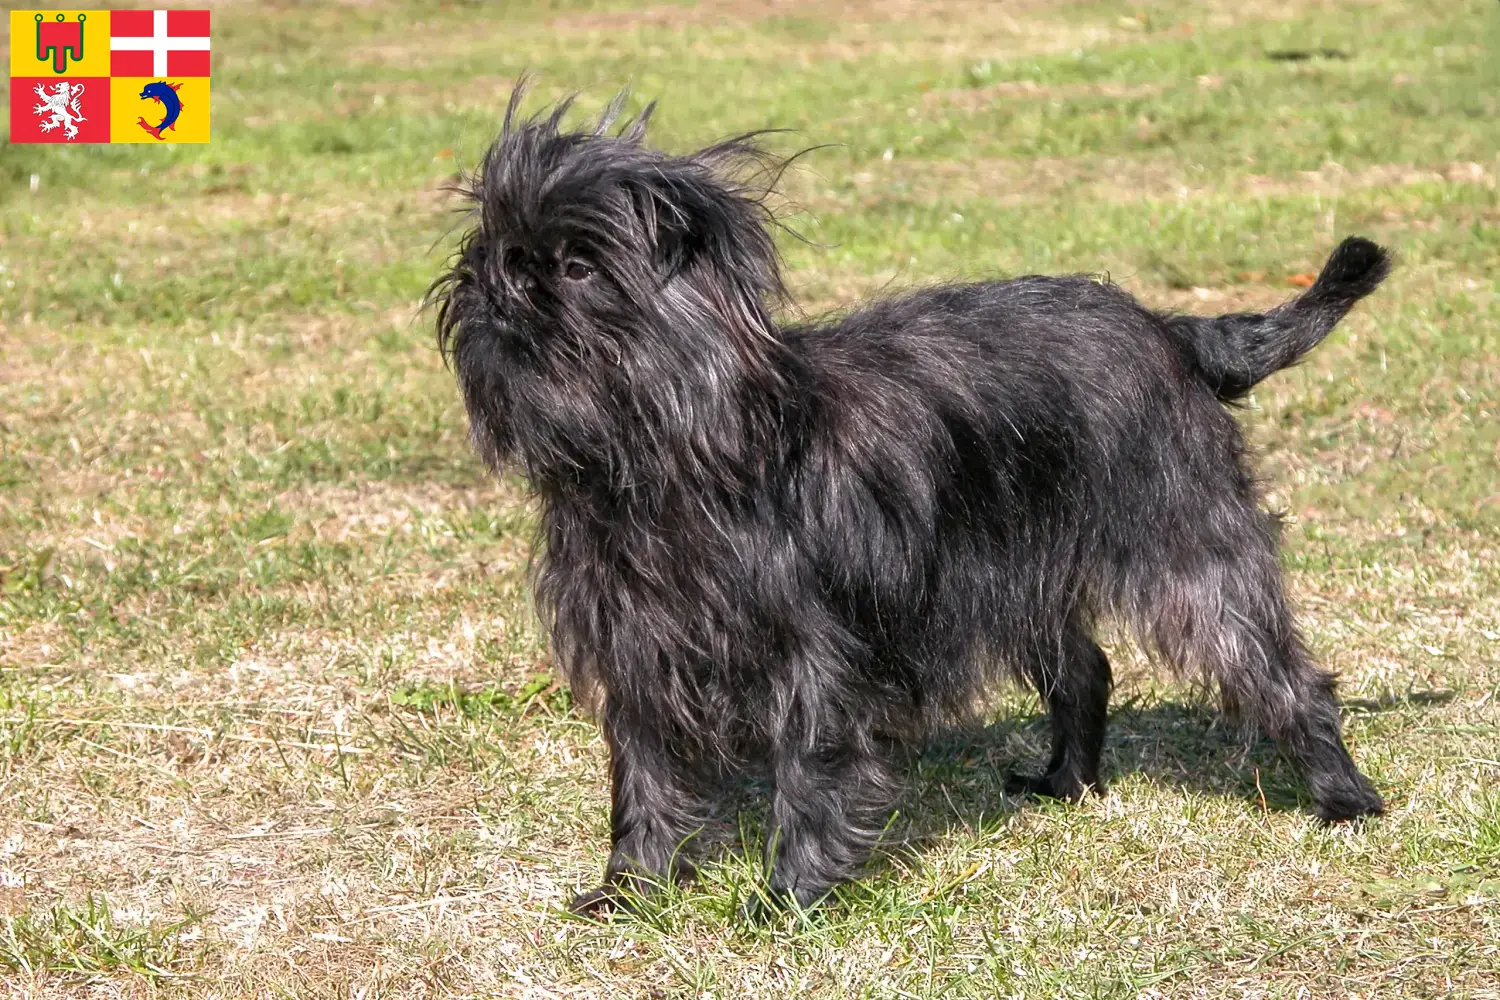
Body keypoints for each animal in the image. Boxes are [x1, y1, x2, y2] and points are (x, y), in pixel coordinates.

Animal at [429, 89, 1386, 917]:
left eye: (574, 266)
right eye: (487, 252)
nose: (496, 283)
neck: (672, 459)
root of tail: (1171, 331)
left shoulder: (815, 658)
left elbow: (810, 768)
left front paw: (790, 898)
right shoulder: (636, 648)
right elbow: (644, 779)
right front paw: (631, 889)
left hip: (1189, 554)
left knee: (1283, 673)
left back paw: (1344, 797)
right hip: (1024, 571)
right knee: (1085, 670)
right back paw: (1066, 783)